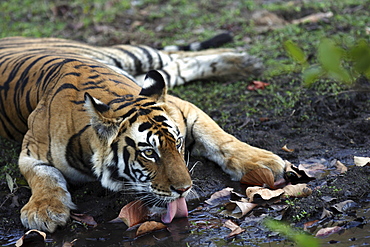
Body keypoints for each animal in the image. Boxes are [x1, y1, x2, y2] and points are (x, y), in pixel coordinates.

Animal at [0, 35, 286, 233]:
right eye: (149, 153)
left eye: (178, 143)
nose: (185, 189)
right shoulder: (30, 151)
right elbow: (43, 176)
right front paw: (44, 211)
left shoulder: (184, 108)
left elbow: (220, 139)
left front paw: (264, 163)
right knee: (176, 64)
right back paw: (245, 63)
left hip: (132, 54)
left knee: (173, 56)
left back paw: (246, 61)